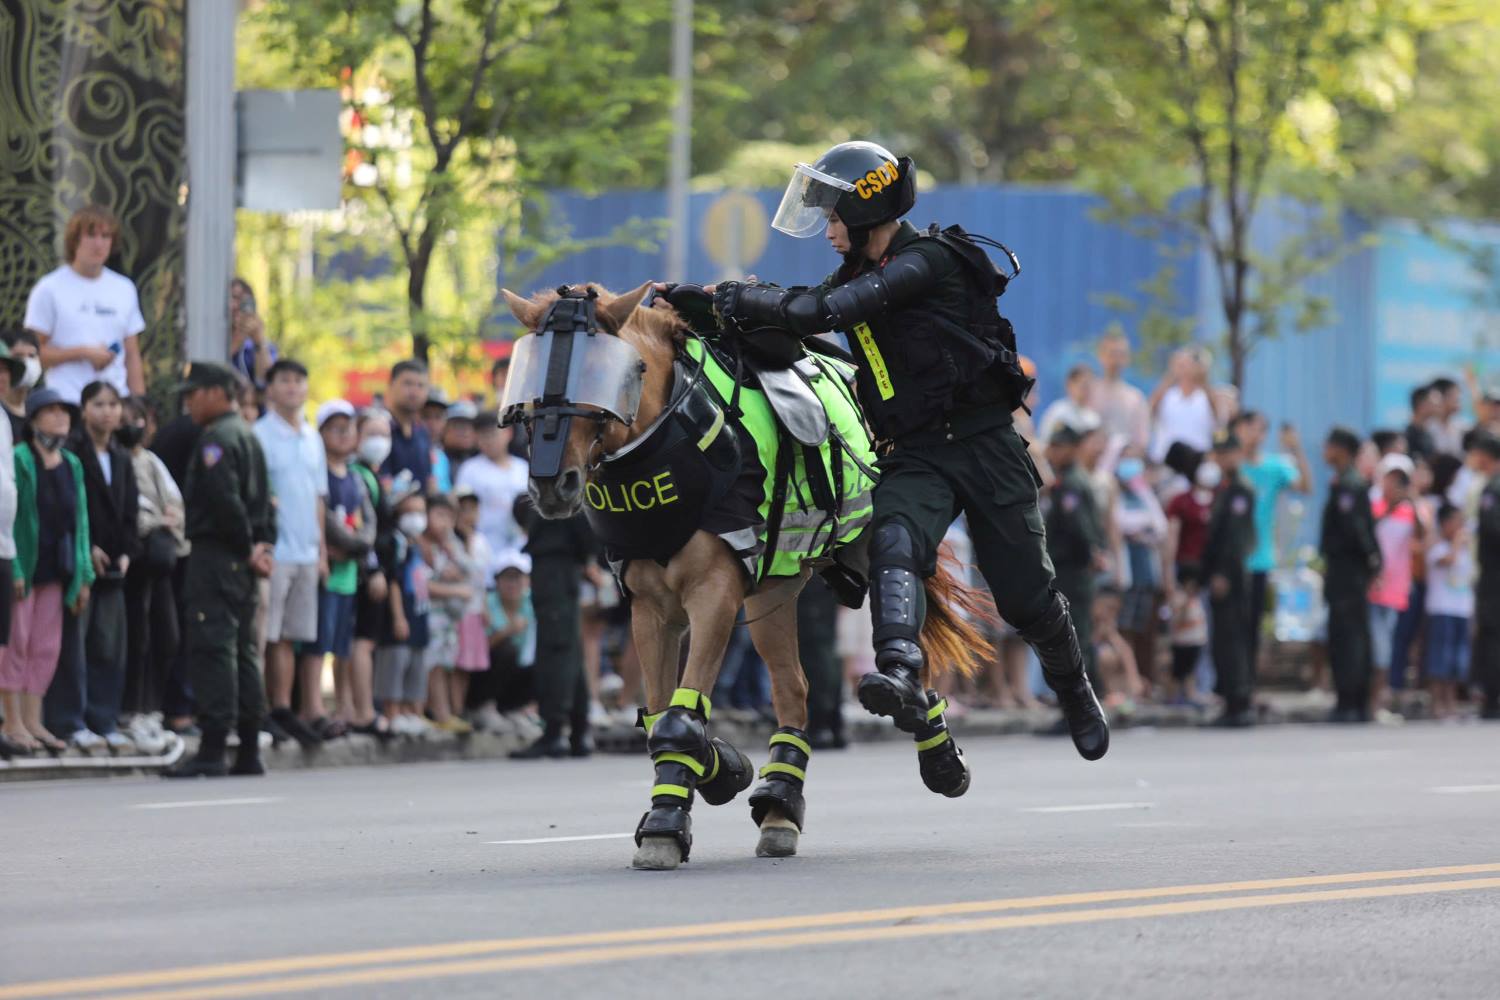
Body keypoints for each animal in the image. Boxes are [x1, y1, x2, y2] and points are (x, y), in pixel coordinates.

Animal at [504, 281, 996, 869]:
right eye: (530, 374)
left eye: (606, 370)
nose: (551, 484)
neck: (670, 441)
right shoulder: (651, 609)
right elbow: (662, 717)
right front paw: (714, 772)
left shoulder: (714, 594)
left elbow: (679, 715)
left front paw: (667, 823)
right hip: (773, 592)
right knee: (793, 688)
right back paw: (781, 803)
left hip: (859, 547)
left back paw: (928, 743)